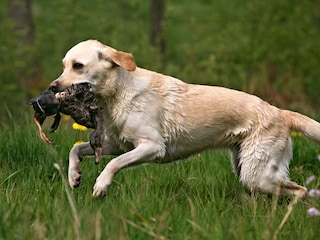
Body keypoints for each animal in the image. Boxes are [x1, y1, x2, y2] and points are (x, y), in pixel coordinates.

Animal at [48, 39, 320, 198]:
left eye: (78, 65)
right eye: (64, 65)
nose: (52, 87)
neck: (118, 92)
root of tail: (280, 112)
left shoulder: (152, 147)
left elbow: (113, 164)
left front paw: (101, 186)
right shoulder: (118, 145)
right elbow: (75, 149)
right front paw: (73, 176)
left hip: (257, 175)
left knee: (300, 190)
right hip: (246, 167)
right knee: (294, 191)